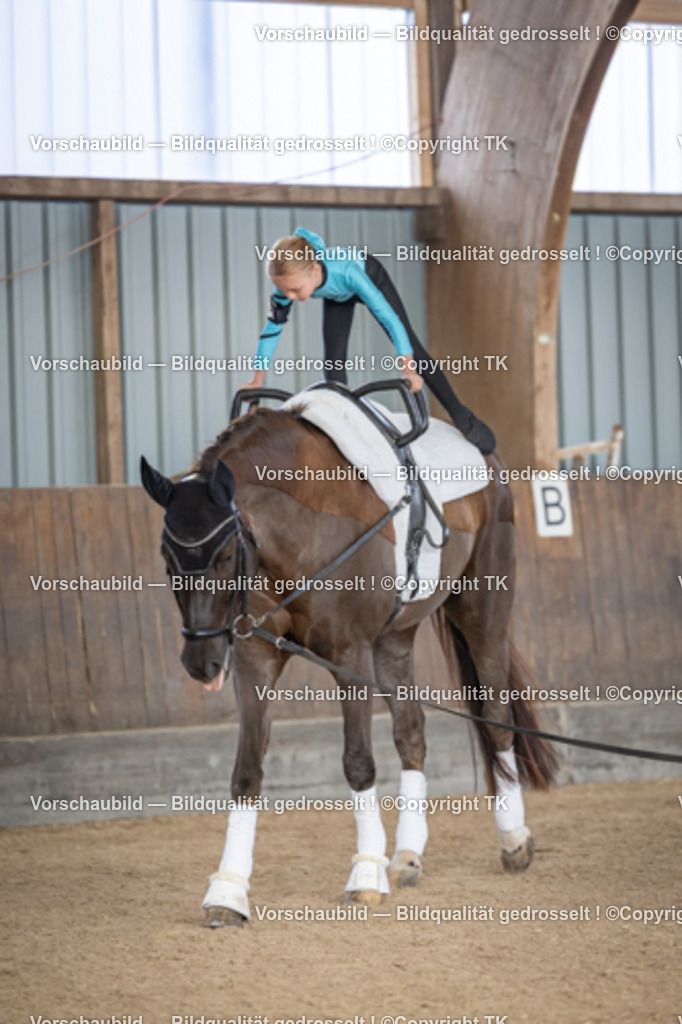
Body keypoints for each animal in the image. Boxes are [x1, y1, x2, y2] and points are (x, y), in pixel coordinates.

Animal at [141, 395, 558, 927]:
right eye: (166, 557)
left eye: (226, 555)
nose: (202, 661)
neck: (302, 531)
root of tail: (488, 458)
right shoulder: (257, 655)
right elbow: (247, 770)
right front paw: (227, 891)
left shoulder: (349, 654)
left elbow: (358, 762)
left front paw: (365, 876)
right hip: (395, 638)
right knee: (411, 730)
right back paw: (407, 855)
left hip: (484, 608)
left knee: (497, 716)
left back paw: (513, 839)